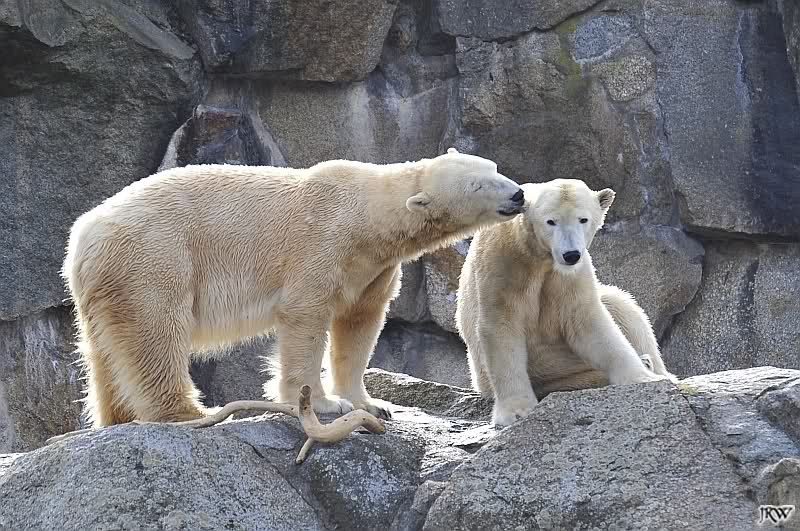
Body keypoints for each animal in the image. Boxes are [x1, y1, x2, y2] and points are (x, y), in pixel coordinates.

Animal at [63, 148, 526, 428]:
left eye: (494, 168)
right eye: (479, 185)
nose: (520, 194)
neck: (367, 216)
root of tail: (83, 236)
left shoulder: (373, 267)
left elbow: (359, 324)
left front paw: (371, 403)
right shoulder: (323, 243)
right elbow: (306, 316)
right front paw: (323, 404)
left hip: (110, 283)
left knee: (105, 350)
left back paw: (116, 417)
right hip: (155, 257)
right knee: (156, 333)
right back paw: (191, 410)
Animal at [455, 178, 676, 427]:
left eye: (583, 219)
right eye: (551, 221)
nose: (571, 254)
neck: (539, 257)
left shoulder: (570, 277)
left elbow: (588, 322)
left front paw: (643, 378)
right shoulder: (501, 265)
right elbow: (502, 326)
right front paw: (516, 411)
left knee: (622, 306)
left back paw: (650, 364)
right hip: (548, 368)